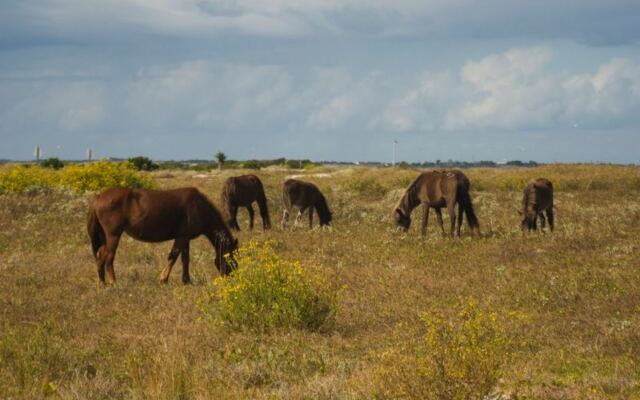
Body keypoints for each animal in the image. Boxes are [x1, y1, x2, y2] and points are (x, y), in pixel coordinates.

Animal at [87, 187, 238, 285]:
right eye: (231, 257)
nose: (232, 277)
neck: (199, 207)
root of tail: (98, 198)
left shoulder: (186, 239)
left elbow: (185, 259)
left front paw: (187, 281)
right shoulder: (181, 237)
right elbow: (173, 256)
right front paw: (163, 279)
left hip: (105, 236)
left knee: (100, 255)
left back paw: (102, 282)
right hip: (113, 235)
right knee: (109, 257)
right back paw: (113, 282)